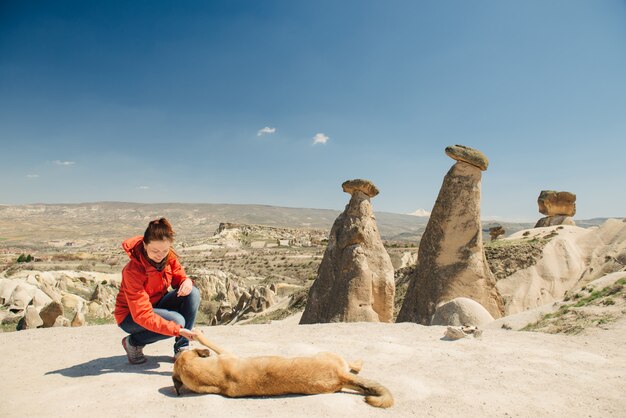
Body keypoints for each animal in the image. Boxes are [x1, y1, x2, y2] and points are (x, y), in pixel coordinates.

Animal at [171, 328, 392, 406]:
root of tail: (341, 376)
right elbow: (209, 342)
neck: (217, 378)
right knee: (354, 365)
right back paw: (359, 361)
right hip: (327, 353)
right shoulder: (226, 352)